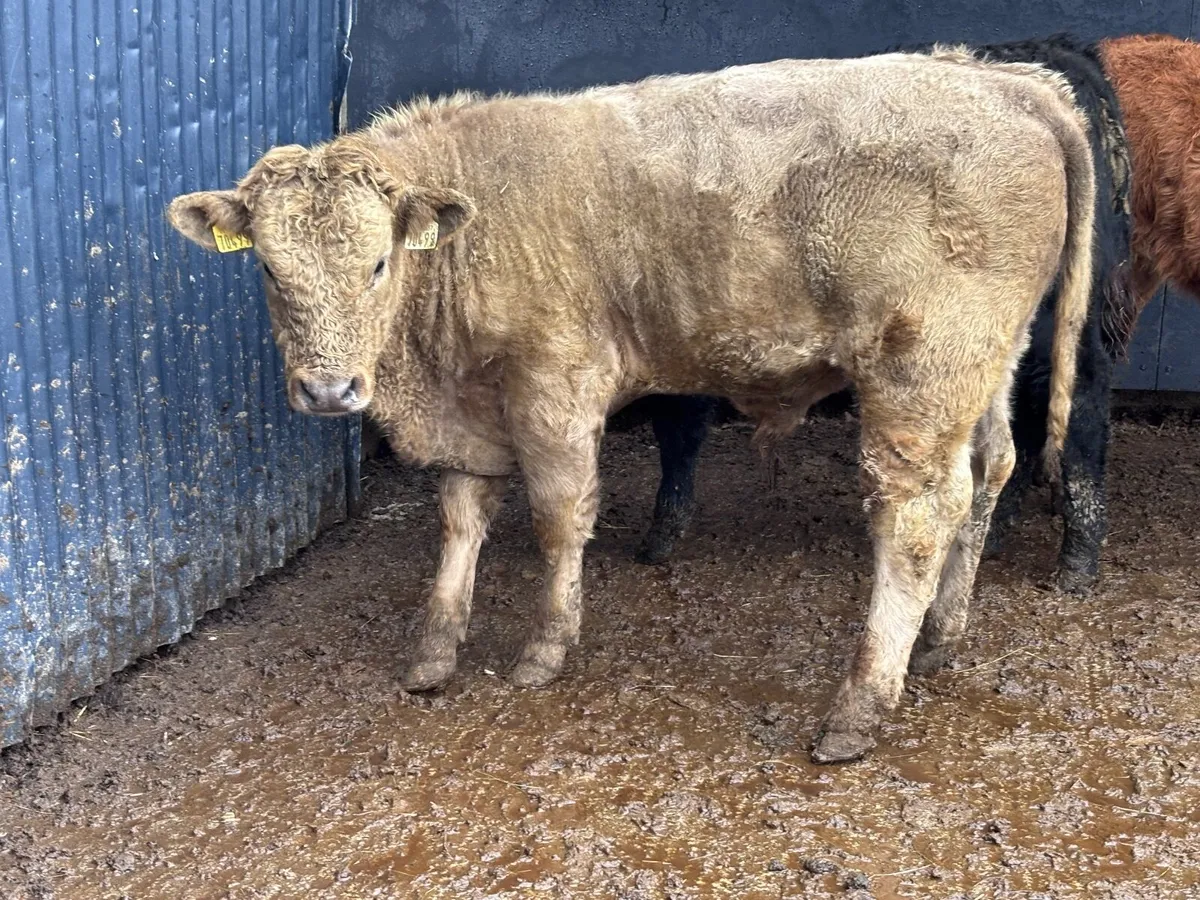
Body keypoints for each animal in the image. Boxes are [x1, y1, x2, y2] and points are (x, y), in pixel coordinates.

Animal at [167, 50, 1094, 763]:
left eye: (378, 263)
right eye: (268, 268)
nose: (330, 390)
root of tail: (1005, 79)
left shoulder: (555, 384)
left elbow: (556, 517)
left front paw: (545, 648)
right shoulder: (472, 415)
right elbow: (461, 518)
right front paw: (434, 650)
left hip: (920, 375)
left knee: (917, 516)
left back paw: (858, 707)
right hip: (986, 366)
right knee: (990, 470)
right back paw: (940, 638)